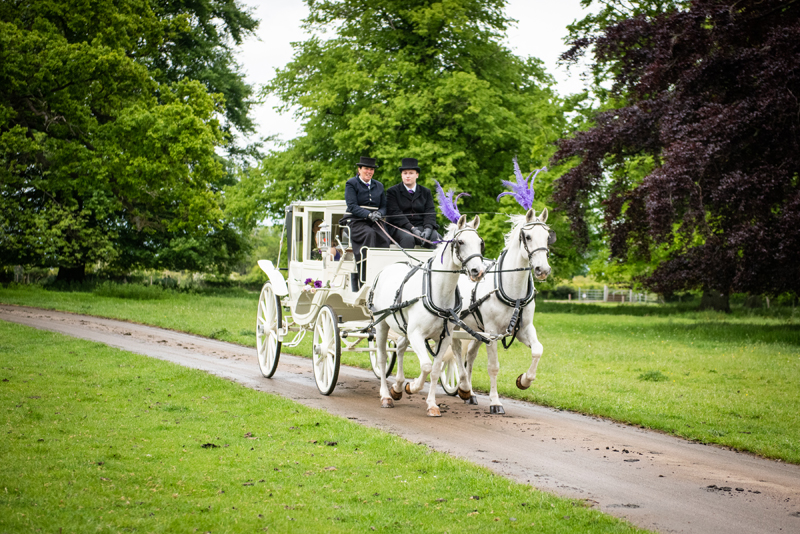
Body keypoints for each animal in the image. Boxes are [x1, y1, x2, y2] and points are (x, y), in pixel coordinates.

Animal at [370, 217, 488, 418]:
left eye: (480, 243)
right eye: (460, 242)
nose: (477, 271)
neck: (438, 291)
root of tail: (389, 267)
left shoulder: (444, 337)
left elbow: (434, 370)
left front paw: (432, 404)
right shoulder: (416, 334)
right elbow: (425, 365)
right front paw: (413, 386)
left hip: (404, 328)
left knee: (400, 348)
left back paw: (398, 387)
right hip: (382, 325)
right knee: (383, 358)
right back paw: (386, 395)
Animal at [450, 207, 556, 416]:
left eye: (548, 237)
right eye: (528, 236)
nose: (543, 269)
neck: (513, 292)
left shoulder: (523, 329)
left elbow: (538, 351)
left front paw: (524, 380)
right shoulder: (492, 332)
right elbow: (493, 367)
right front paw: (495, 402)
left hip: (477, 331)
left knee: (470, 356)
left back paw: (470, 393)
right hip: (457, 327)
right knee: (456, 352)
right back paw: (463, 386)